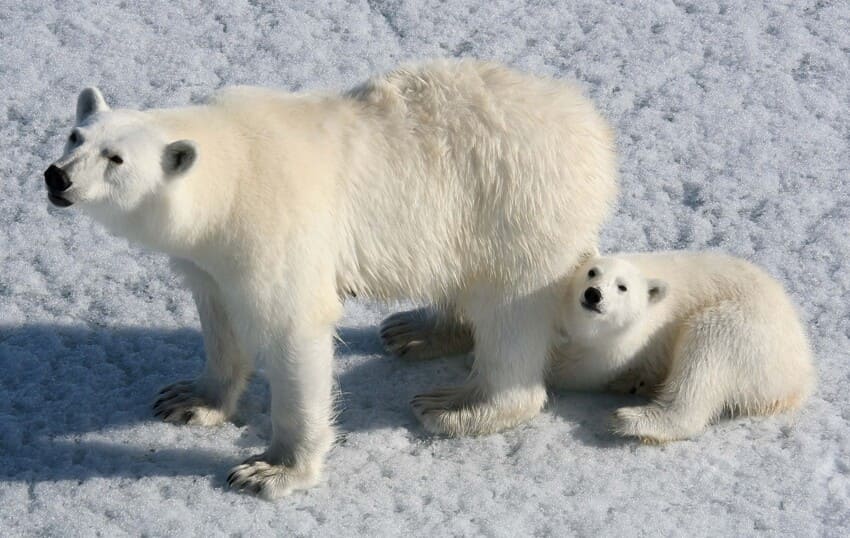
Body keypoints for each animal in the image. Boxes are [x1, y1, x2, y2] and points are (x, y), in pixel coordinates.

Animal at [43, 60, 618, 498]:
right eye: (75, 135)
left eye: (116, 159)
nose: (57, 176)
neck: (231, 175)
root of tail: (591, 127)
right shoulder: (210, 258)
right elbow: (219, 317)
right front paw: (189, 400)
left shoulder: (275, 230)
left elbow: (294, 331)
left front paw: (269, 471)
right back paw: (416, 330)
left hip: (517, 203)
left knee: (510, 313)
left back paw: (456, 406)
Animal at [384, 251, 815, 443]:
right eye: (592, 272)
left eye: (621, 287)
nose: (594, 295)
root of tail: (799, 377)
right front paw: (414, 333)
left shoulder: (622, 343)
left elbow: (579, 367)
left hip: (746, 328)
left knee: (706, 357)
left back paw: (633, 418)